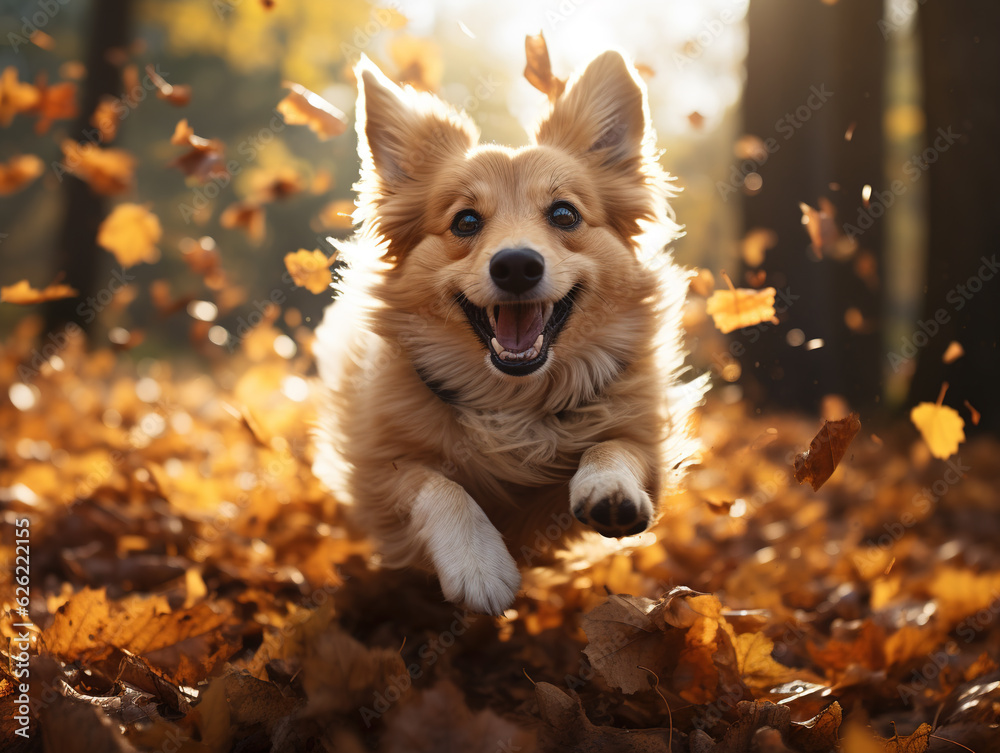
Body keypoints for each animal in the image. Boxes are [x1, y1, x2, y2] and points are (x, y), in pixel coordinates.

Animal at [312, 51, 704, 616]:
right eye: (465, 221)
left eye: (564, 213)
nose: (516, 265)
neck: (515, 403)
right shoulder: (375, 473)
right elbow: (435, 484)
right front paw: (478, 563)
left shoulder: (647, 440)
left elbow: (613, 446)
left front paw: (609, 488)